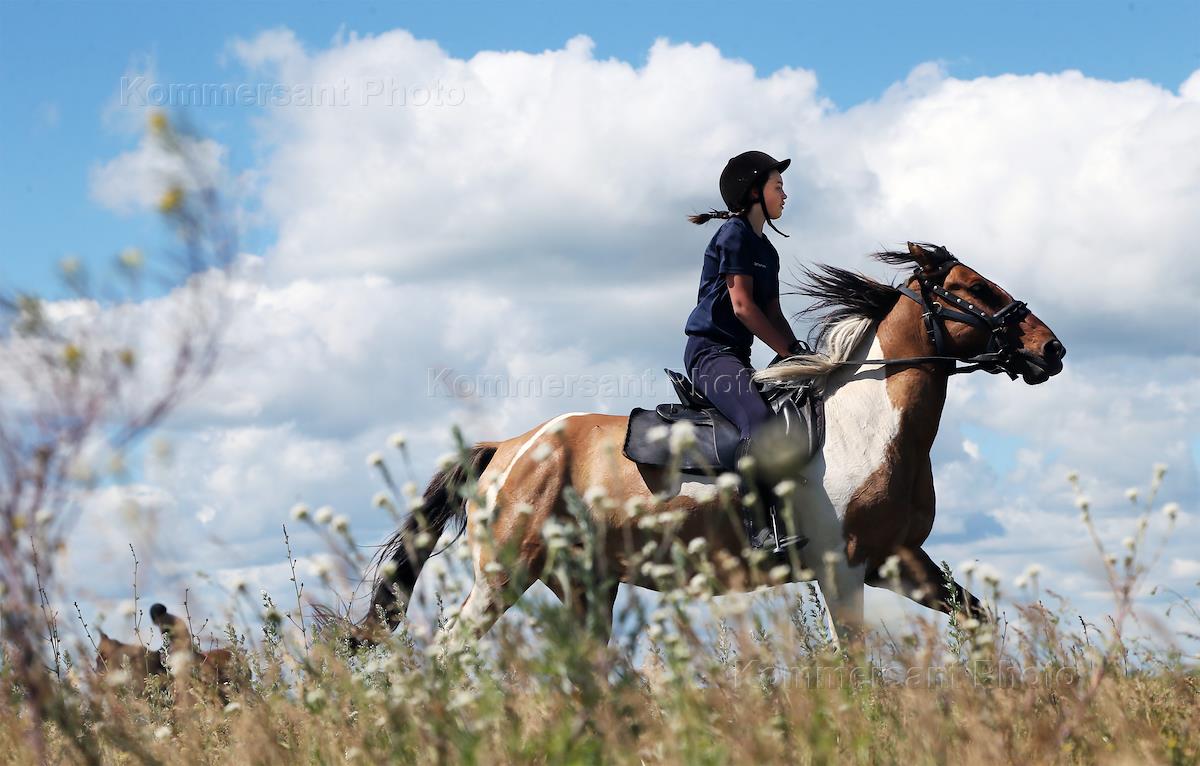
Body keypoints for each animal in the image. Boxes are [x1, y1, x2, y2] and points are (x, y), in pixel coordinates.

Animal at [345, 244, 1060, 648]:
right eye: (973, 290)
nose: (1050, 349)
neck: (871, 425)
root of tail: (507, 448)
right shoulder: (844, 569)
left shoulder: (900, 560)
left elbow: (978, 620)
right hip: (505, 574)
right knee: (451, 651)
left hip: (585, 583)